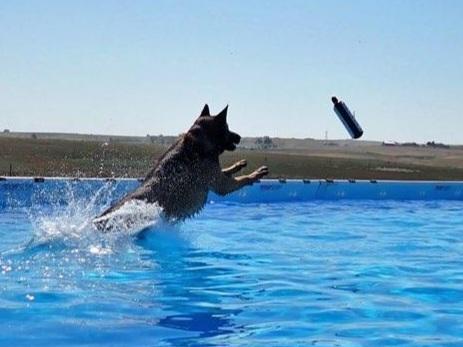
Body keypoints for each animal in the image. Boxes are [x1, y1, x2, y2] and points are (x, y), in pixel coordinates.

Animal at [93, 105, 268, 231]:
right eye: (227, 127)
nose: (239, 137)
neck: (199, 142)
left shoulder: (217, 175)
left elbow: (229, 171)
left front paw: (239, 164)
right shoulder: (221, 185)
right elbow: (242, 179)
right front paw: (257, 173)